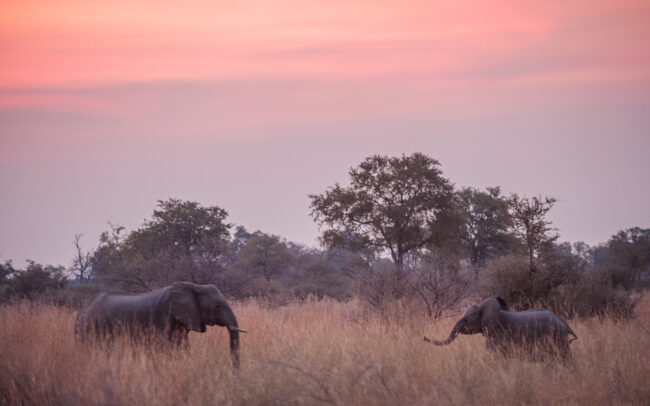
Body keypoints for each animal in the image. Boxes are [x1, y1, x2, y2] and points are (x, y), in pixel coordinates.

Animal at [75, 281, 247, 367]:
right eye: (217, 306)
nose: (235, 374)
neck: (194, 287)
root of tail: (81, 311)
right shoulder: (163, 317)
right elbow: (165, 347)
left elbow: (183, 346)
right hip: (91, 328)